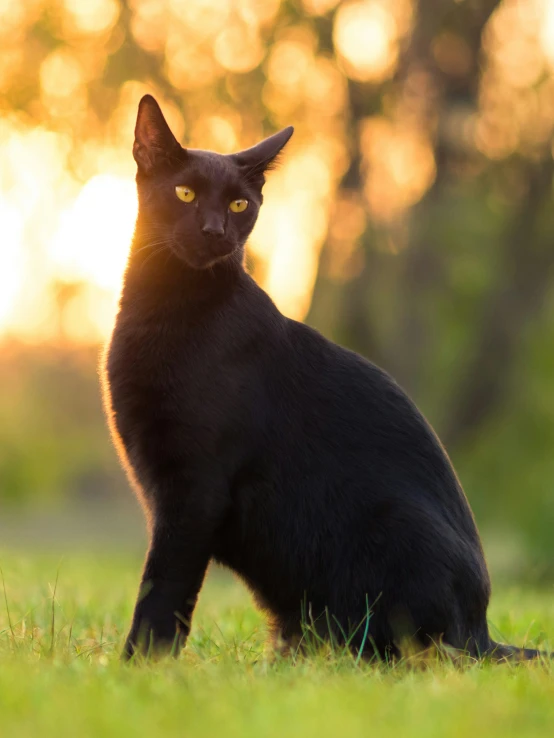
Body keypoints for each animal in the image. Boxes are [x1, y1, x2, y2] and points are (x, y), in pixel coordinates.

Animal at [102, 93, 540, 660]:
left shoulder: (195, 489)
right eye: (184, 193)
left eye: (239, 205)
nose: (215, 231)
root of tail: (483, 633)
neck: (167, 307)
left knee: (413, 651)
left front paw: (138, 667)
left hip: (393, 526)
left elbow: (163, 587)